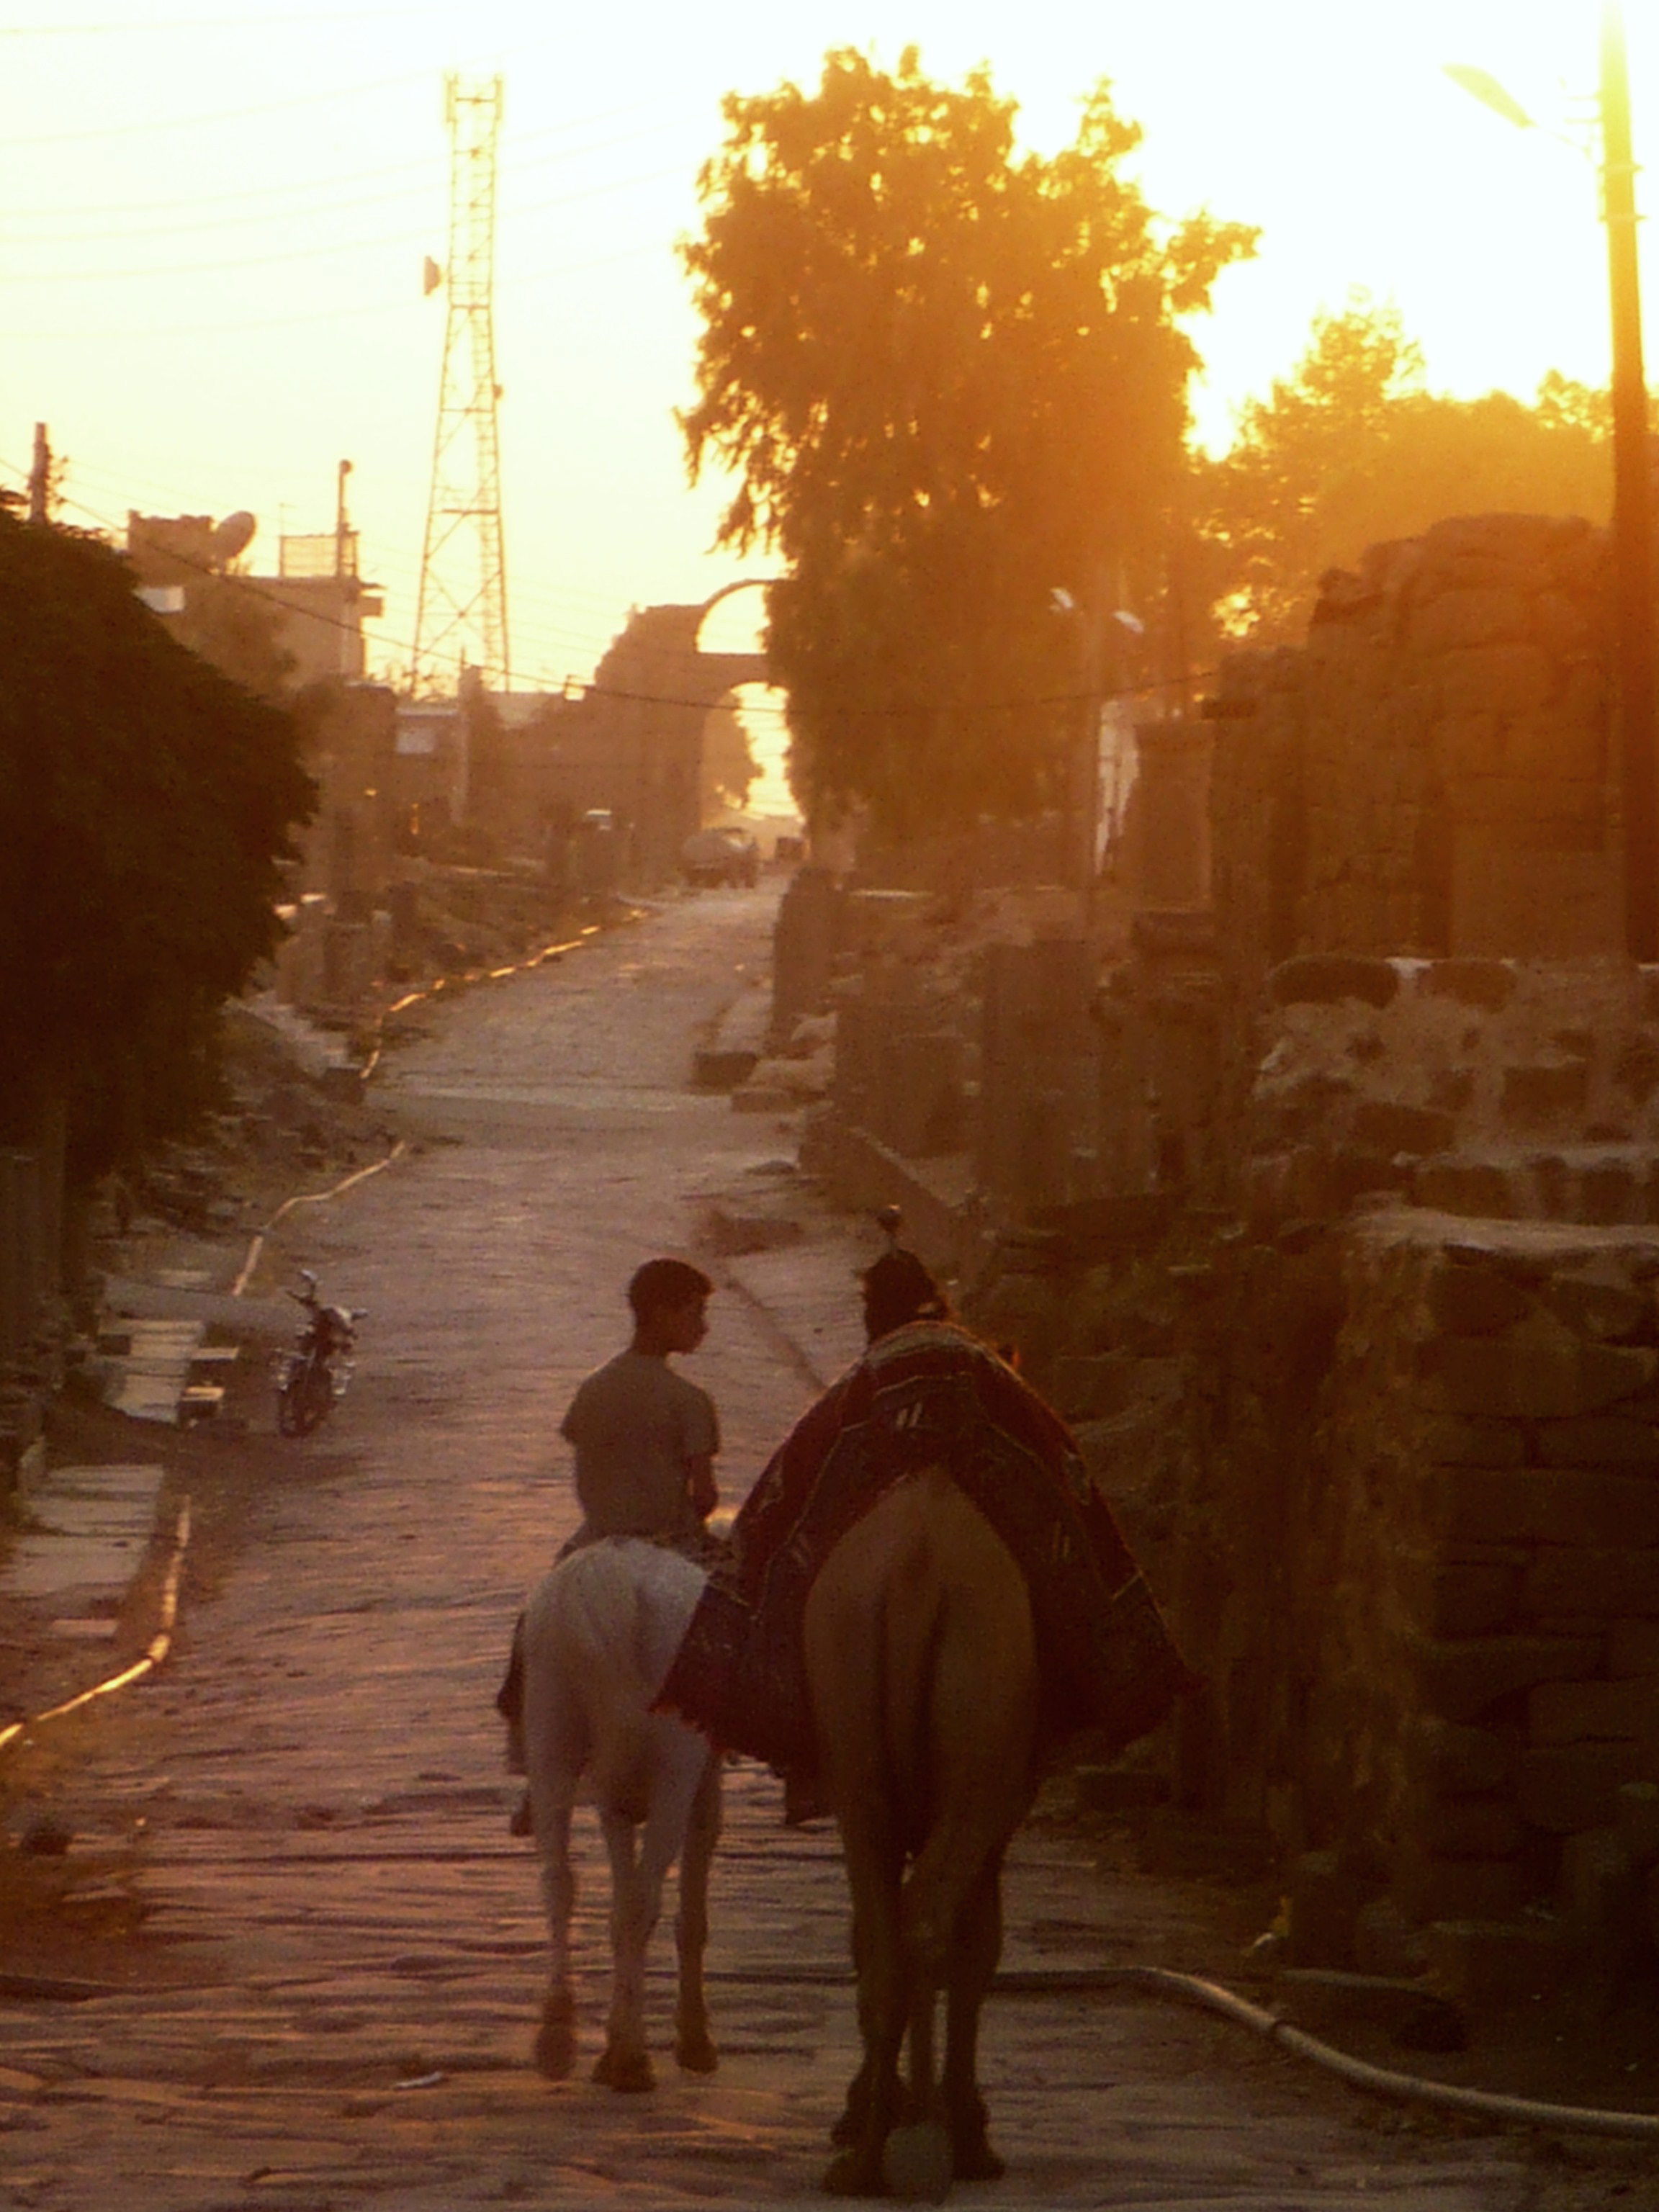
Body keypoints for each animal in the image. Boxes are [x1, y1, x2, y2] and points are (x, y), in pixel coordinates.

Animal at [519, 1539, 721, 2087]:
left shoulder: (615, 1795)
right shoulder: (701, 1776)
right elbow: (687, 1900)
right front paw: (691, 2036)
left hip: (551, 1730)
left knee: (558, 1879)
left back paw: (558, 2030)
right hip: (673, 1767)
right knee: (642, 1900)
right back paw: (628, 2056)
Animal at [805, 1460, 1039, 2203]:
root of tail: (917, 1566)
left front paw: (861, 2110)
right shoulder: (1001, 1809)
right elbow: (980, 1948)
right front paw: (971, 2130)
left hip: (849, 1700)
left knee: (886, 1940)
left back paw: (867, 2158)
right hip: (980, 1713)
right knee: (931, 1922)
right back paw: (933, 2140)